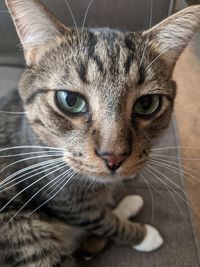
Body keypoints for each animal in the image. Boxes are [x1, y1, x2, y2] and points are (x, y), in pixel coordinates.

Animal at [0, 0, 199, 266]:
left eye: (147, 104)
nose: (113, 157)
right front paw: (143, 235)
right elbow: (106, 222)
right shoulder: (71, 206)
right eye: (70, 100)